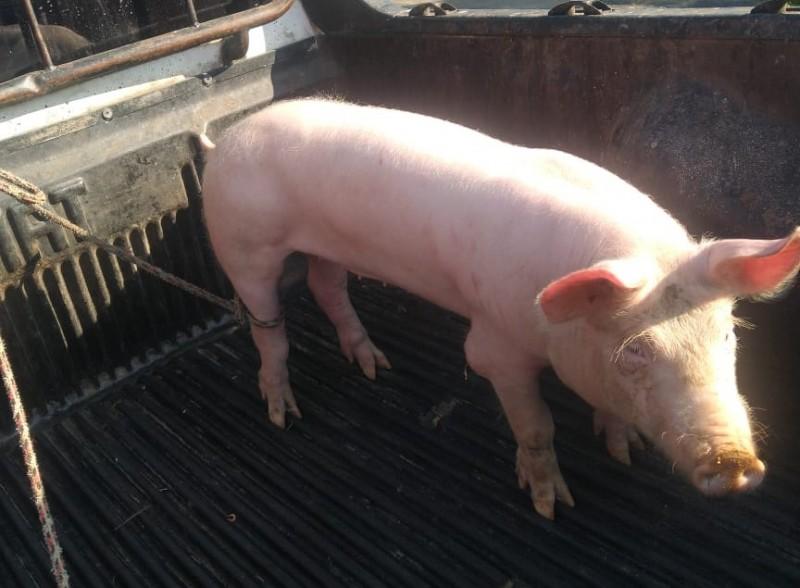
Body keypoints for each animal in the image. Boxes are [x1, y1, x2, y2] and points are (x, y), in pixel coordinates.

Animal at [202, 98, 800, 519]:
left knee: (327, 286)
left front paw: (623, 449)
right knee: (268, 327)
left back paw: (375, 366)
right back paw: (283, 413)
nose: (737, 466)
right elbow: (534, 426)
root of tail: (223, 139)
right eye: (637, 352)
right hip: (242, 243)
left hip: (328, 245)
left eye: (727, 335)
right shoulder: (495, 348)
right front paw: (550, 506)